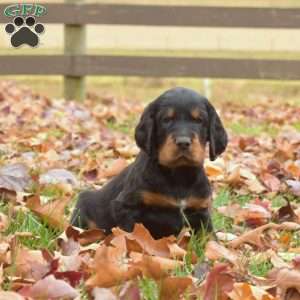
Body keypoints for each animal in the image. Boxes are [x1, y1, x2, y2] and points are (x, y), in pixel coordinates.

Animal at [71, 86, 227, 239]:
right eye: (166, 120)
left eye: (199, 120)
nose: (183, 142)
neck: (178, 174)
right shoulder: (127, 207)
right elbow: (129, 237)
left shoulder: (201, 210)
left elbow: (210, 238)